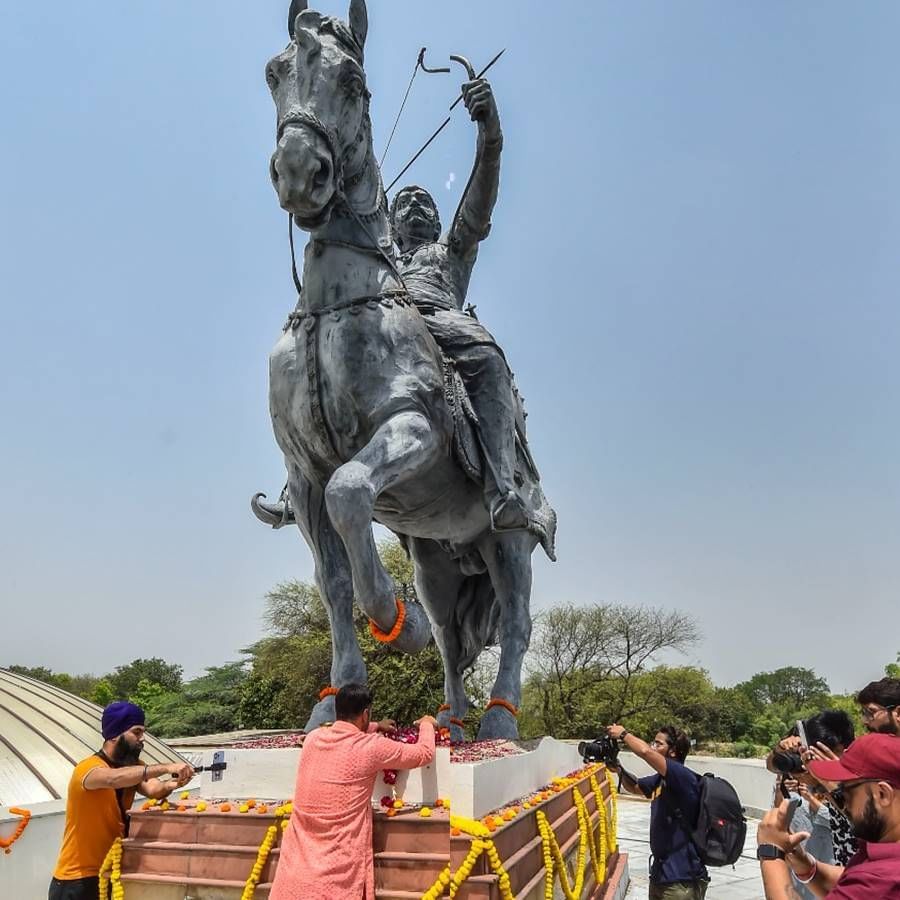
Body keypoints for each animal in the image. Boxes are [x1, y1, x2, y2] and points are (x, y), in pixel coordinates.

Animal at [250, 0, 552, 740]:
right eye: (275, 72)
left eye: (354, 81)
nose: (299, 173)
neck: (336, 305)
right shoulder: (303, 475)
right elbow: (332, 585)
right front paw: (335, 699)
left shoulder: (411, 428)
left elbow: (352, 491)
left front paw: (395, 622)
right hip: (437, 558)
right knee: (449, 633)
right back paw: (452, 720)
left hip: (510, 541)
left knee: (518, 620)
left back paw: (499, 721)